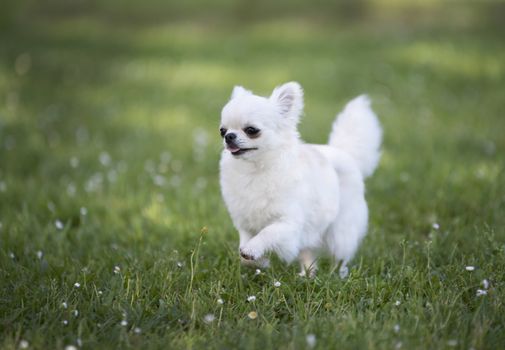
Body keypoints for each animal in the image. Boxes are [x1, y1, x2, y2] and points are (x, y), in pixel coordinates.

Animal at [219, 82, 380, 276]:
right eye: (222, 131)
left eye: (251, 130)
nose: (229, 136)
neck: (255, 170)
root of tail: (344, 153)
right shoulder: (245, 224)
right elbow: (243, 249)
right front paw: (259, 261)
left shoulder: (288, 224)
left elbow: (267, 233)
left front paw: (253, 249)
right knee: (308, 254)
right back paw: (307, 275)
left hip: (340, 231)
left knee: (341, 256)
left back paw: (338, 275)